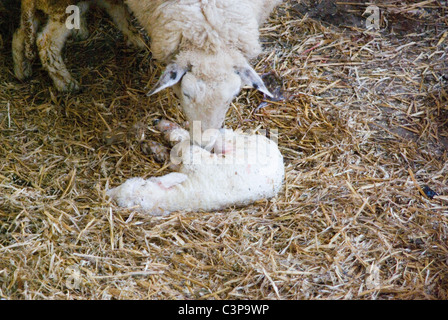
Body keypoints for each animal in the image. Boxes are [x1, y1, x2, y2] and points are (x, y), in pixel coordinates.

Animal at [106, 120, 284, 215]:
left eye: (141, 184)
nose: (109, 192)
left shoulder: (195, 159)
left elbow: (185, 147)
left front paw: (171, 135)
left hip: (236, 145)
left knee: (218, 136)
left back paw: (171, 128)